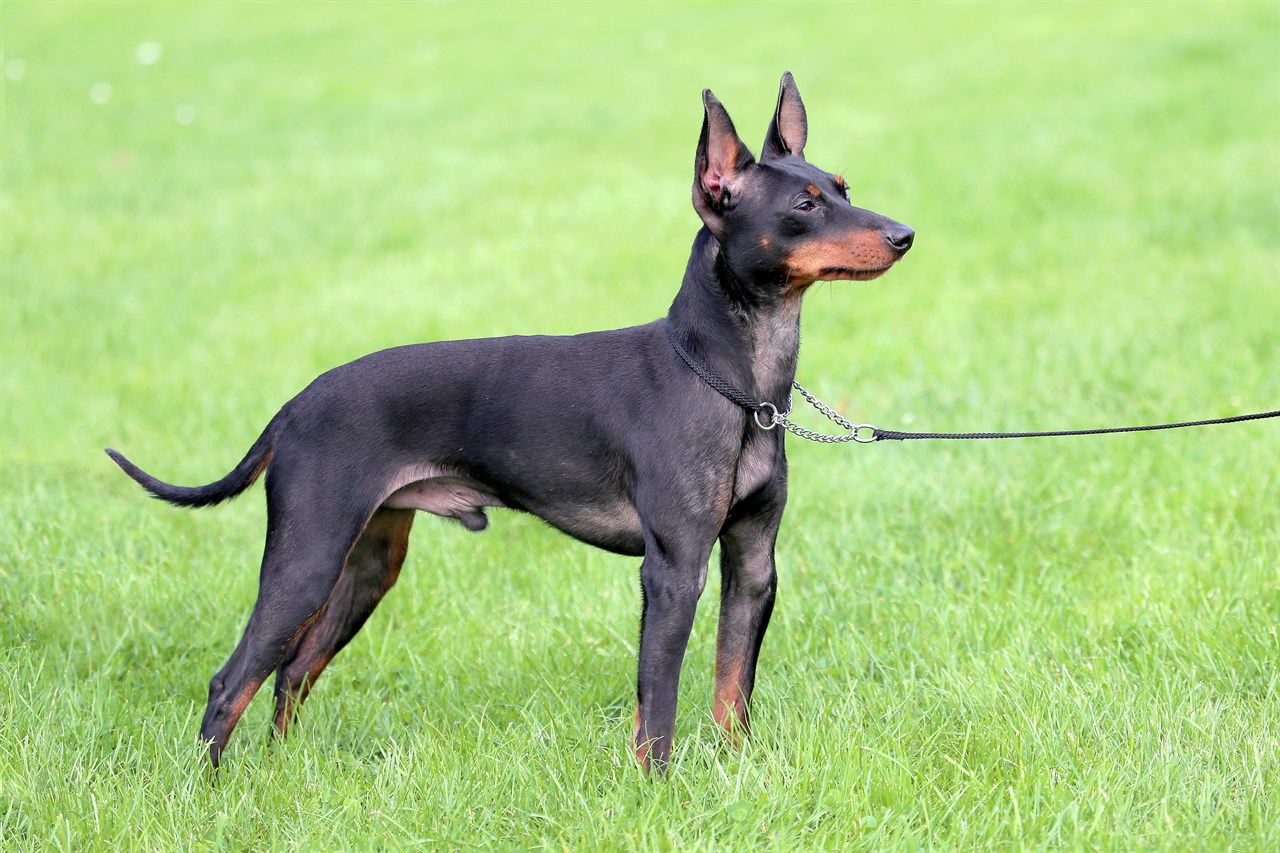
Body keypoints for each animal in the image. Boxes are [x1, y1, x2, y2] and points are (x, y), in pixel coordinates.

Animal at [107, 69, 911, 768]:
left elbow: (731, 690)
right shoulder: (673, 569)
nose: (904, 233)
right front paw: (657, 791)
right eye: (804, 206)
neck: (733, 380)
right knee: (231, 680)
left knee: (291, 671)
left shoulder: (751, 565)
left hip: (367, 564)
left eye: (843, 188)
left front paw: (738, 772)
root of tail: (295, 405)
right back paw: (213, 794)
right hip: (307, 559)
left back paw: (280, 771)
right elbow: (658, 704)